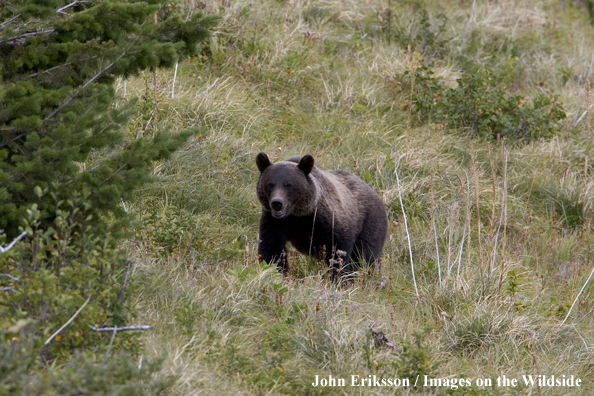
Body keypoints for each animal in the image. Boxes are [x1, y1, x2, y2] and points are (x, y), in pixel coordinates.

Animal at [256, 153, 388, 276]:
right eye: (270, 184)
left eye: (288, 184)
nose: (277, 203)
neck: (297, 215)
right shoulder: (274, 223)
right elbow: (271, 251)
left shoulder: (326, 220)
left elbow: (338, 250)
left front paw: (340, 276)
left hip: (369, 222)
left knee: (366, 255)